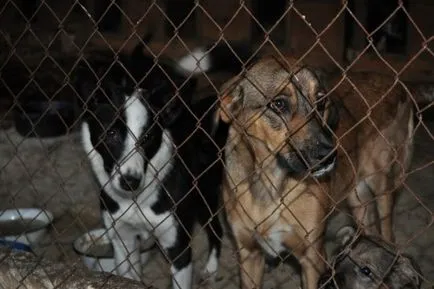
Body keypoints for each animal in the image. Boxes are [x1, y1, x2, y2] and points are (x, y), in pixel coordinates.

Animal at [214, 56, 428, 288]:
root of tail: (397, 85)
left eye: (321, 101)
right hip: (357, 196)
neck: (270, 185)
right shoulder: (249, 255)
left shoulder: (312, 259)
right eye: (279, 104)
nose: (330, 154)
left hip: (382, 185)